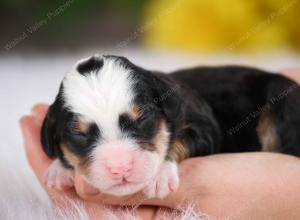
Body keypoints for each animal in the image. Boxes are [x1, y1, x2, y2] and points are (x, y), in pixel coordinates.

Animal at [41, 54, 300, 198]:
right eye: (79, 134)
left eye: (142, 119)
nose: (120, 167)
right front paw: (59, 170)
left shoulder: (204, 128)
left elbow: (178, 140)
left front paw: (160, 176)